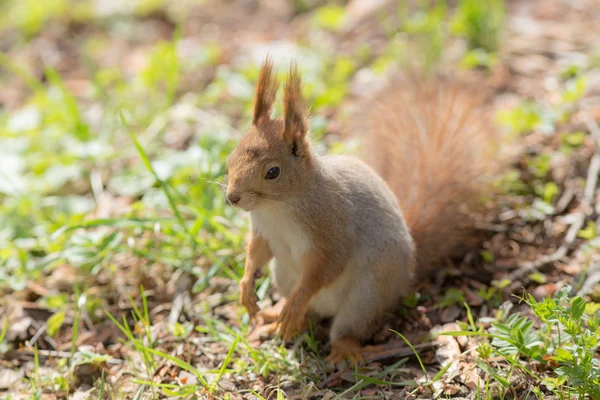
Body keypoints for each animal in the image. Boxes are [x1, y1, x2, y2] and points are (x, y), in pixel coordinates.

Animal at [225, 57, 496, 364]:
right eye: (231, 156)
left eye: (273, 172)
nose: (232, 198)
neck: (278, 208)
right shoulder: (262, 230)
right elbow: (256, 253)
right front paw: (246, 288)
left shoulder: (332, 228)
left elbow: (325, 268)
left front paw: (294, 304)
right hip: (283, 274)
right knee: (310, 316)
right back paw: (275, 318)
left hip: (367, 296)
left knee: (345, 328)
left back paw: (339, 346)